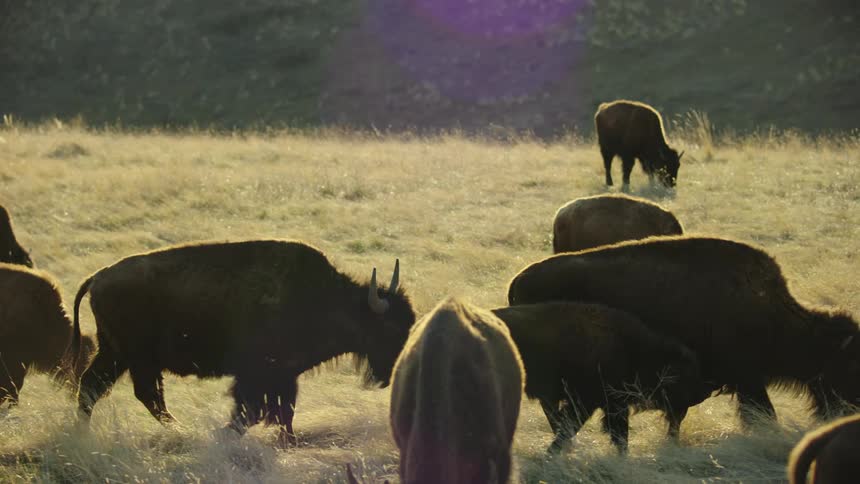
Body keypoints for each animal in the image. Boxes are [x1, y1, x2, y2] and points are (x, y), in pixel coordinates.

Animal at [73, 240, 415, 446]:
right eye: (389, 328)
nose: (392, 375)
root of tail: (98, 277)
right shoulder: (258, 375)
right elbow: (253, 410)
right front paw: (227, 434)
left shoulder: (285, 376)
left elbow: (283, 411)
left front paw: (288, 441)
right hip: (136, 358)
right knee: (144, 395)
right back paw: (183, 431)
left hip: (116, 355)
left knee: (94, 387)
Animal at [492, 302, 709, 454]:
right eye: (682, 376)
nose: (702, 393)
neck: (633, 349)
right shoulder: (587, 402)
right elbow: (571, 427)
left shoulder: (611, 404)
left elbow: (619, 434)